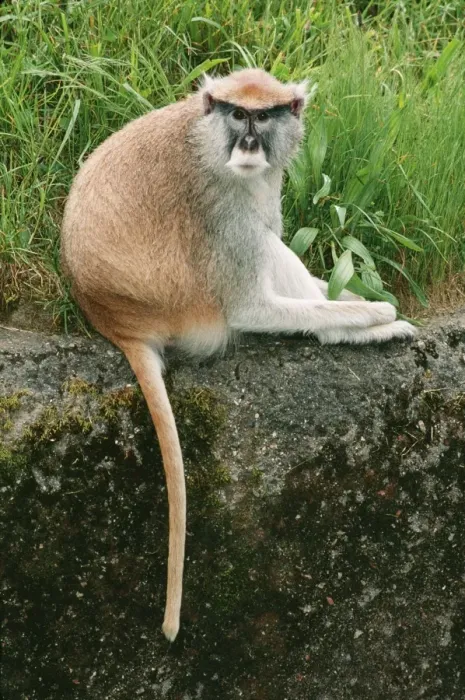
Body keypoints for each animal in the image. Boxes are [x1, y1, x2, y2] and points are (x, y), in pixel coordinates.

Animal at [60, 68, 415, 642]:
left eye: (263, 117)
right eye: (237, 114)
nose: (249, 143)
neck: (204, 138)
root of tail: (115, 320)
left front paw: (360, 302)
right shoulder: (220, 204)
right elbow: (252, 307)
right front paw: (374, 314)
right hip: (190, 302)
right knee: (262, 252)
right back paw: (353, 330)